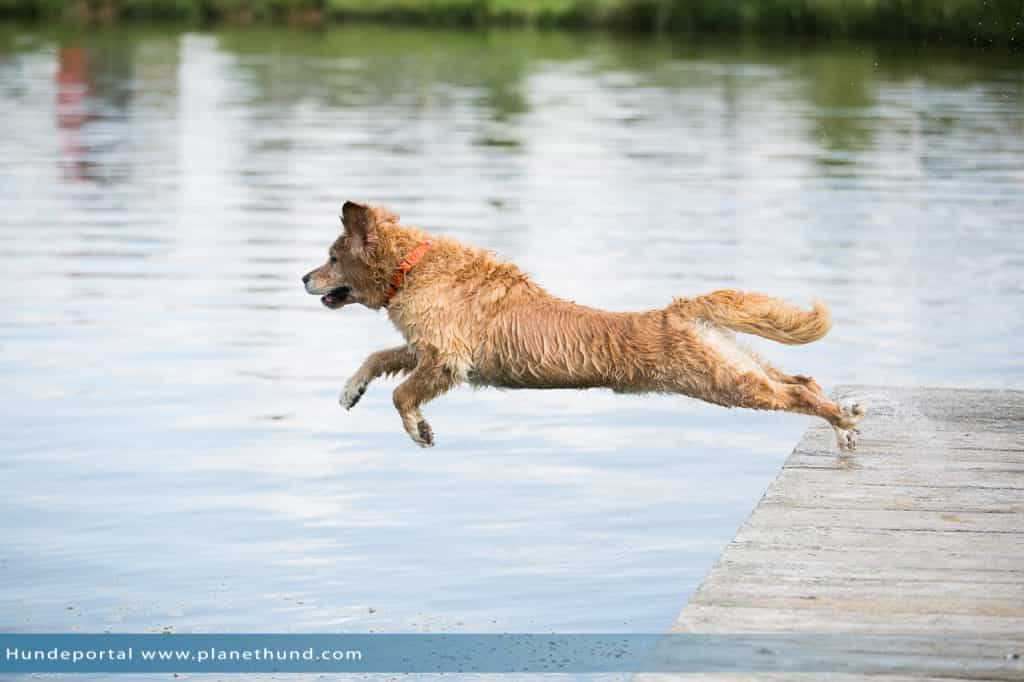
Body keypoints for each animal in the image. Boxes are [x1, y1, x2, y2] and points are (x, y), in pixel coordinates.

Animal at [301, 199, 864, 448]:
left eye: (331, 257)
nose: (304, 276)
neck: (412, 265)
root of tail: (681, 310)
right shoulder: (424, 350)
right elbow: (378, 357)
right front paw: (351, 390)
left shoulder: (446, 358)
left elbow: (403, 394)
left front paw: (419, 429)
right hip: (737, 363)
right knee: (801, 376)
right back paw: (845, 414)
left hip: (723, 382)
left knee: (797, 393)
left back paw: (841, 421)